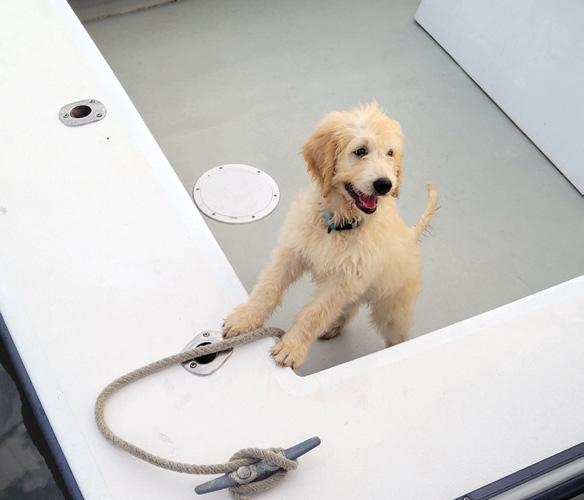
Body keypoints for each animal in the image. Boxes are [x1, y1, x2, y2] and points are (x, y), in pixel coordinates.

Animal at [223, 102, 438, 368]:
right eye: (360, 151)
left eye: (390, 153)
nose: (385, 185)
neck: (339, 224)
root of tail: (411, 236)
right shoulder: (293, 252)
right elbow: (268, 287)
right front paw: (244, 319)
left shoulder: (342, 281)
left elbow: (315, 313)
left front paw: (292, 347)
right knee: (349, 307)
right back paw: (334, 326)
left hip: (392, 308)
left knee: (397, 333)